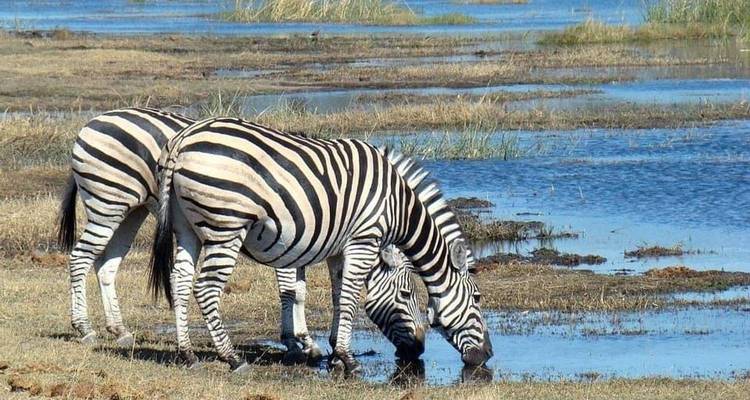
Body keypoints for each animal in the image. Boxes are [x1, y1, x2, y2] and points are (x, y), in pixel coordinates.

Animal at [56, 107, 425, 364]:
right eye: (407, 294)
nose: (419, 349)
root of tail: (94, 121)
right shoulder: (291, 236)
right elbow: (292, 292)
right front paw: (298, 343)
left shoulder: (307, 238)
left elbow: (300, 290)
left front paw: (304, 341)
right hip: (109, 200)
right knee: (81, 257)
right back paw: (85, 329)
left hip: (130, 210)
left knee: (106, 264)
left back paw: (119, 330)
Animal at [149, 116, 493, 374]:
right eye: (476, 298)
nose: (487, 355)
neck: (398, 205)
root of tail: (183, 138)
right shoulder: (363, 240)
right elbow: (349, 298)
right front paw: (346, 358)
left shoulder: (339, 249)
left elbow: (337, 296)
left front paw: (333, 352)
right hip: (226, 226)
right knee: (205, 288)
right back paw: (232, 358)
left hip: (186, 226)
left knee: (180, 281)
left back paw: (187, 353)